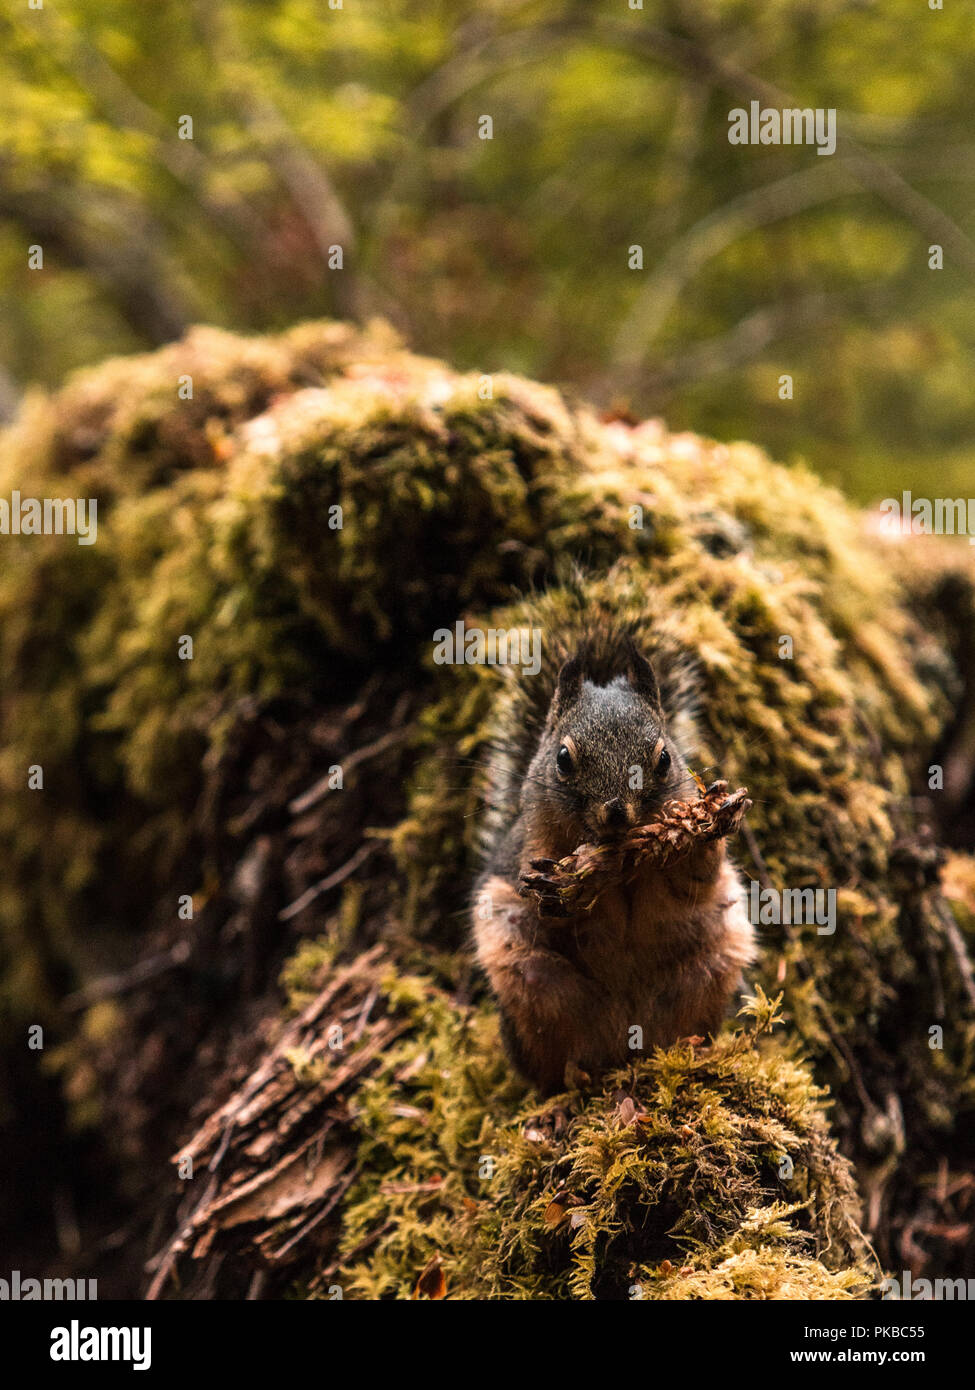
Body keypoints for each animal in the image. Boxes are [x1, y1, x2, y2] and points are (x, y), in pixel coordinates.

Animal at [471, 597, 755, 1095]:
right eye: (563, 758)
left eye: (664, 759)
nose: (617, 813)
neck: (623, 868)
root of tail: (626, 1047)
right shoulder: (532, 846)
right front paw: (561, 888)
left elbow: (697, 880)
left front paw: (704, 826)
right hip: (531, 981)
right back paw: (571, 1079)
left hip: (711, 966)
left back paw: (691, 1050)